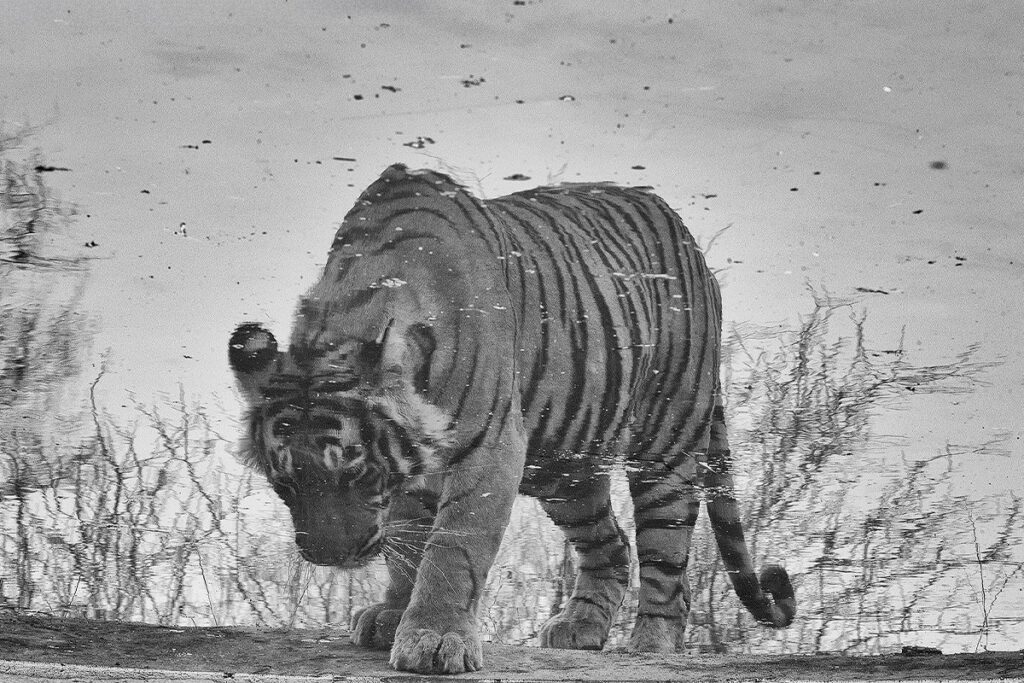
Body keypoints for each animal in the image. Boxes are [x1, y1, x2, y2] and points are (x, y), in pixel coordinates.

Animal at [228, 163, 795, 675]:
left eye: (355, 474)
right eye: (284, 485)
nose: (330, 555)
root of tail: (685, 235)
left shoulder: (490, 448)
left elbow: (452, 546)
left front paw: (434, 640)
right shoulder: (414, 463)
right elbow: (407, 540)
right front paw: (392, 615)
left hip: (667, 437)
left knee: (667, 557)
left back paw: (650, 645)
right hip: (563, 469)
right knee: (611, 545)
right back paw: (580, 627)